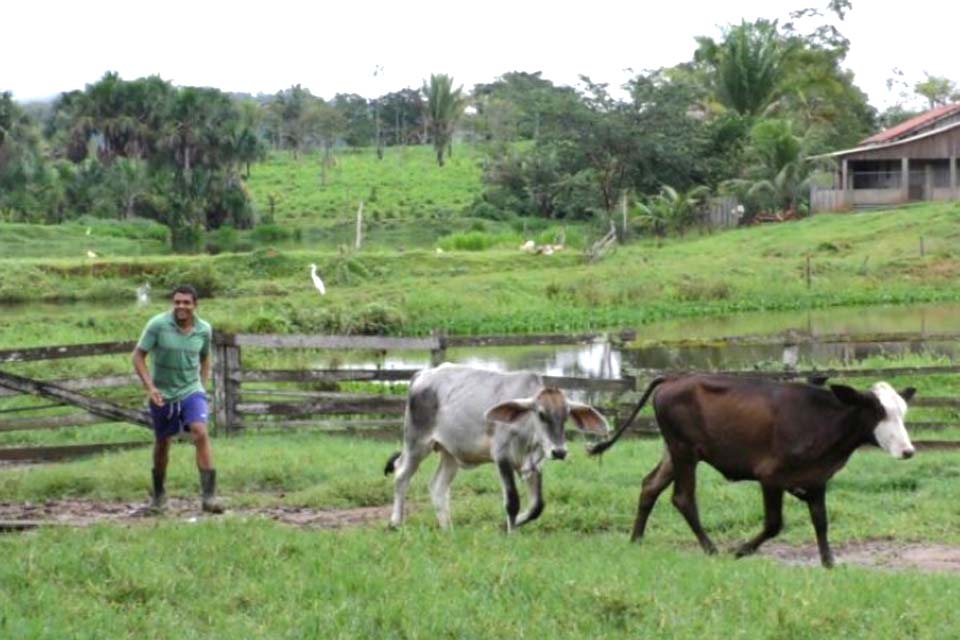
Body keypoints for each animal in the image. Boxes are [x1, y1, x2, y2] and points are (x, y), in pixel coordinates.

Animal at [592, 372, 916, 568]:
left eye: (902, 411)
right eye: (879, 412)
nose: (908, 451)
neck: (823, 421)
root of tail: (674, 378)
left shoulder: (816, 479)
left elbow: (821, 522)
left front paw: (829, 563)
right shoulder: (770, 477)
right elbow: (774, 523)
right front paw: (741, 550)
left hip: (674, 453)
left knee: (649, 487)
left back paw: (636, 540)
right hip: (684, 452)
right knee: (683, 498)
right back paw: (710, 548)